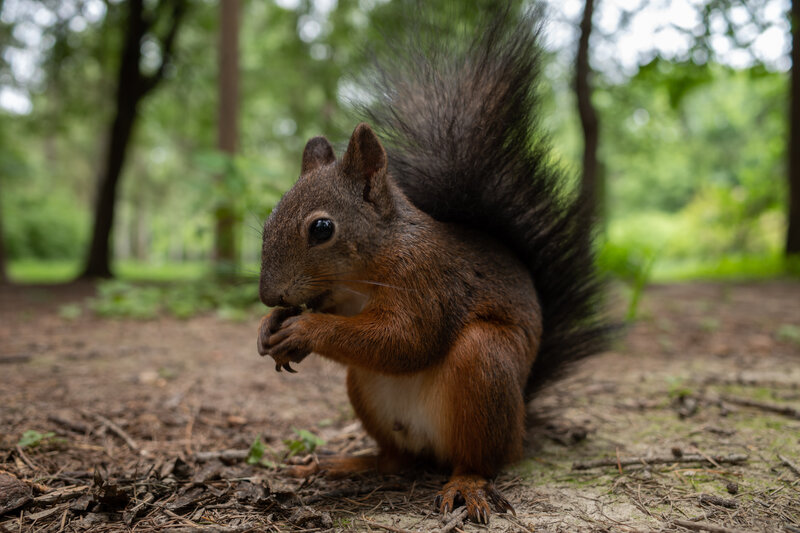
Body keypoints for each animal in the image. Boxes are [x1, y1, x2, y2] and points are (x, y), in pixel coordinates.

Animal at [256, 5, 611, 524]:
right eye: (268, 218)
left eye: (321, 228)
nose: (268, 295)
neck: (365, 269)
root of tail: (521, 418)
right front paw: (271, 327)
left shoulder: (429, 280)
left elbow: (406, 340)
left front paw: (303, 330)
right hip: (363, 388)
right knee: (396, 459)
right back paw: (347, 463)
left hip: (485, 365)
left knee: (478, 458)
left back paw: (466, 484)